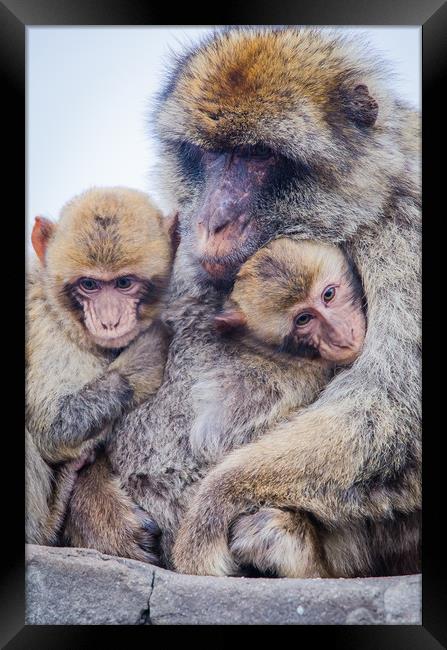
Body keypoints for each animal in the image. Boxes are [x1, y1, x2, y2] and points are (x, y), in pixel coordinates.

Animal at [25, 185, 173, 560]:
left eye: (124, 283)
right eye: (89, 285)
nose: (109, 321)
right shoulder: (49, 327)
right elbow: (52, 425)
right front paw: (140, 363)